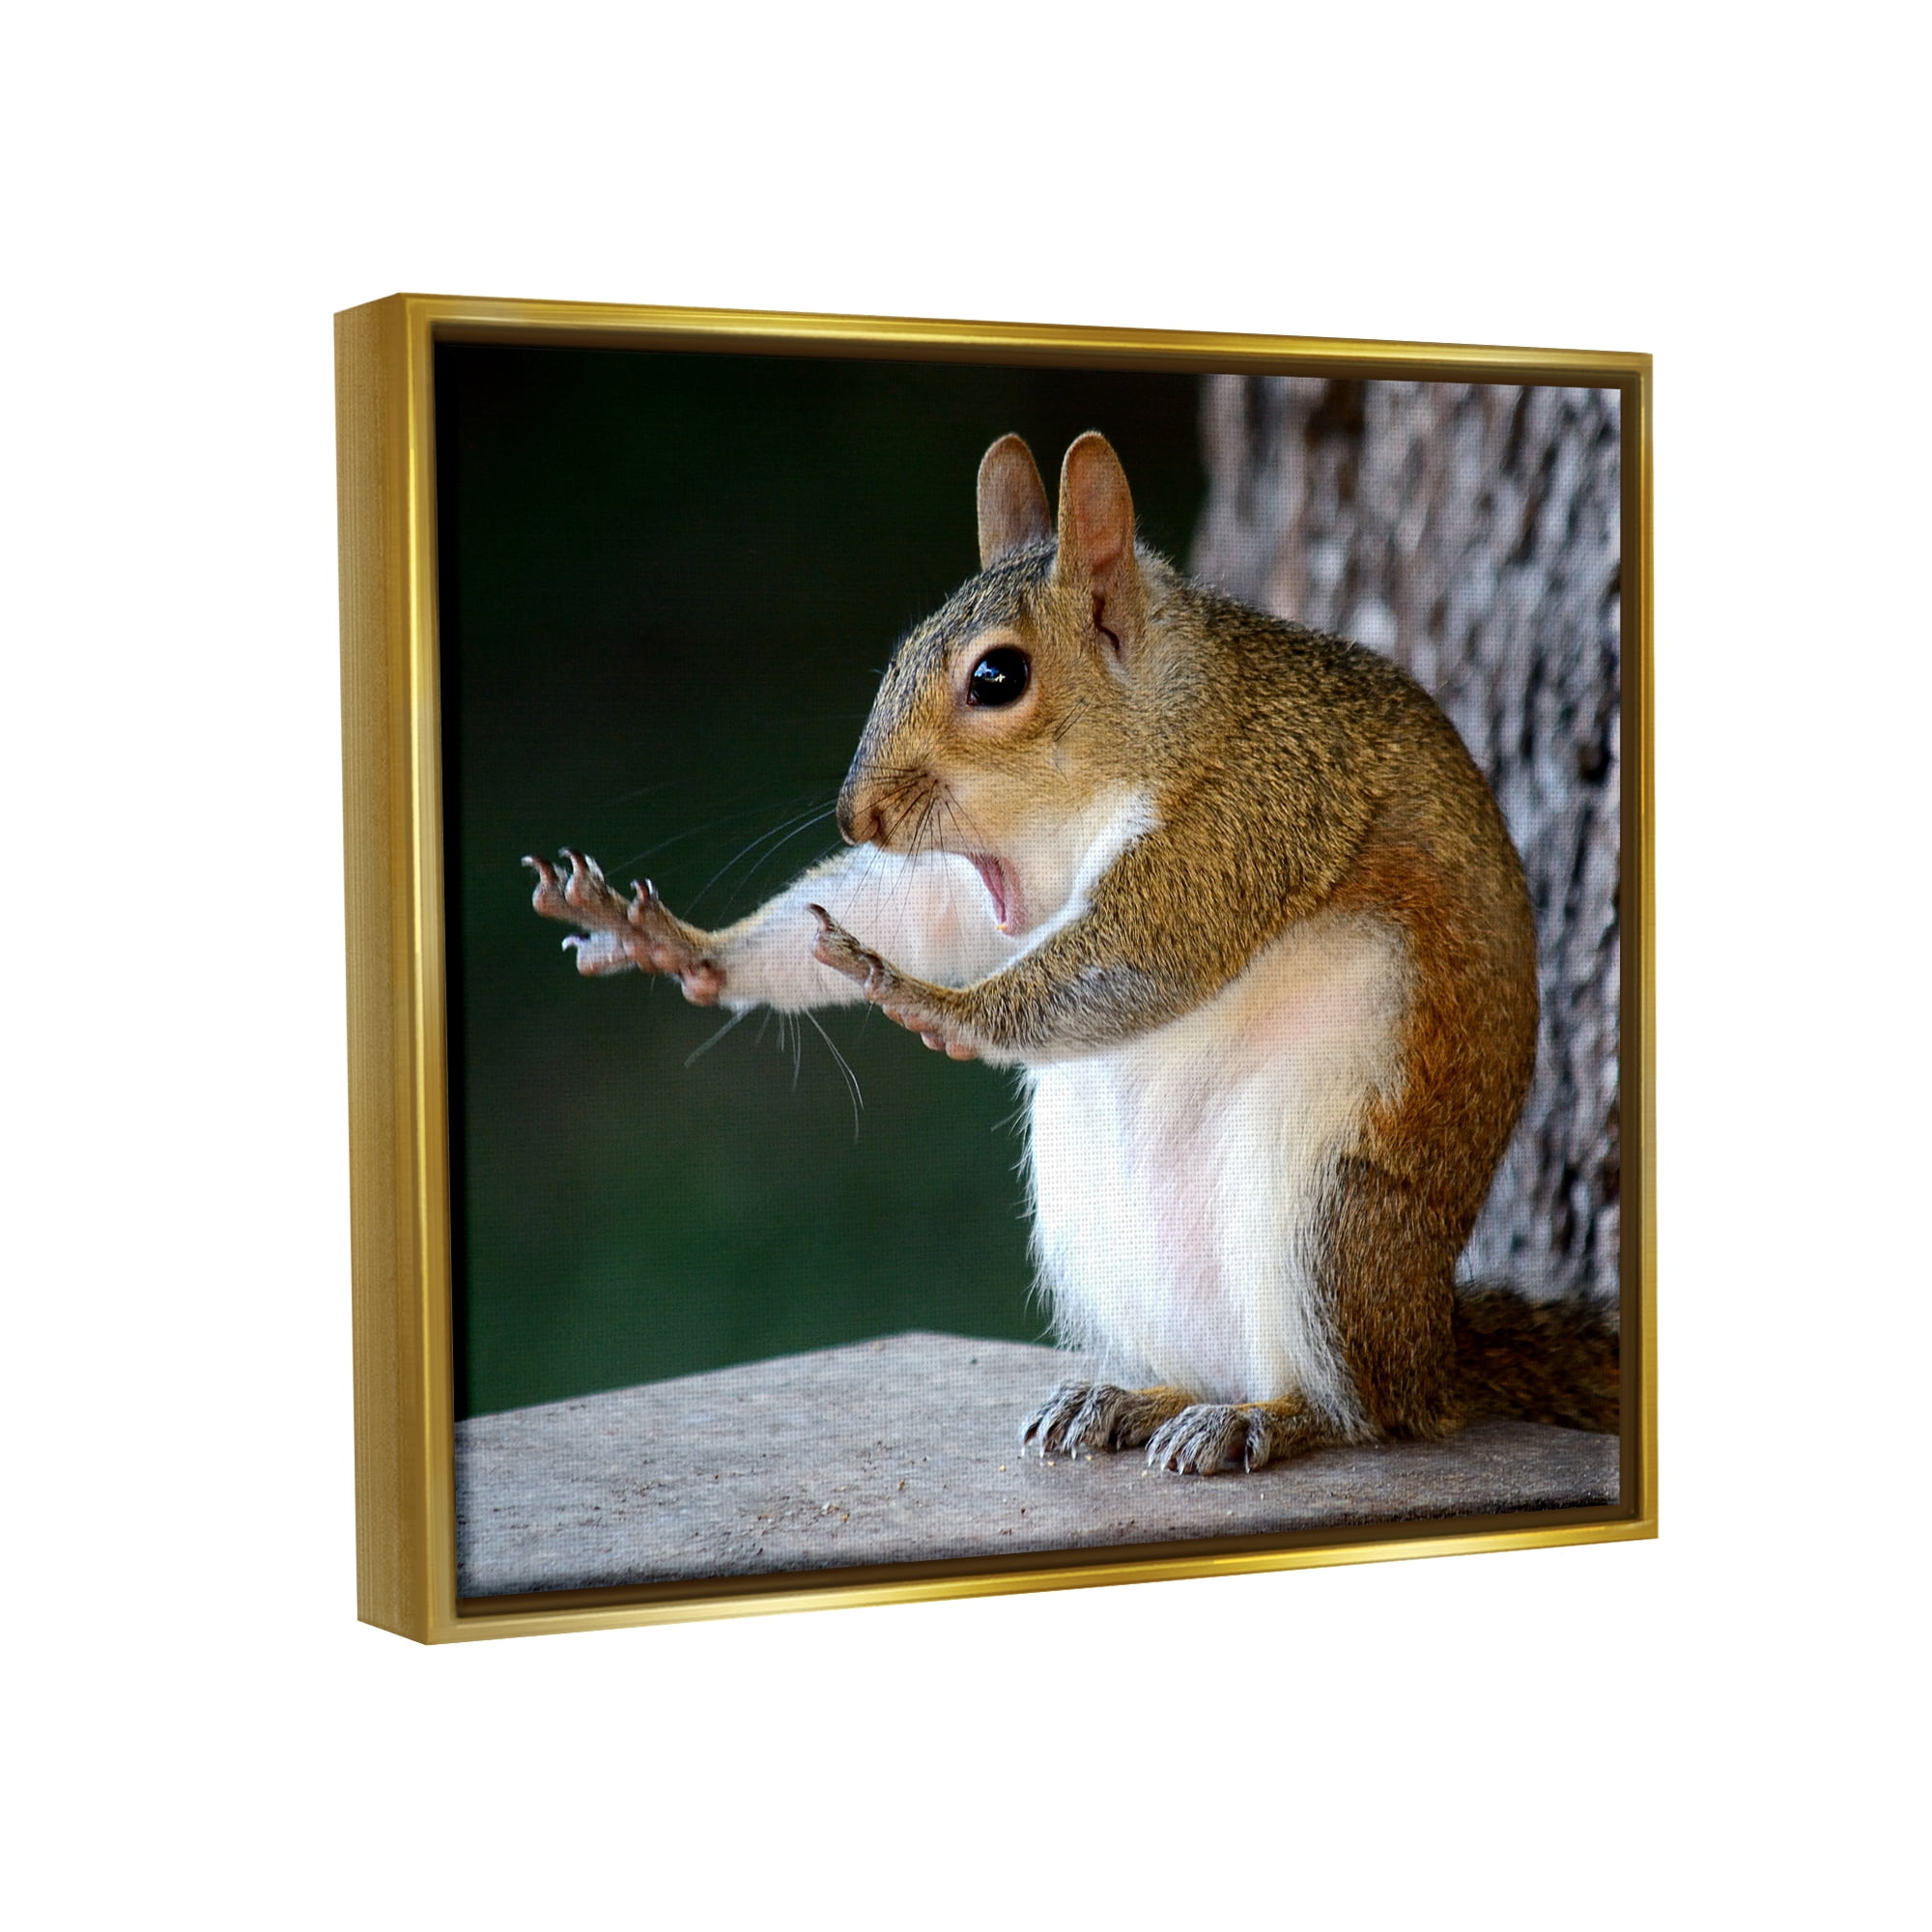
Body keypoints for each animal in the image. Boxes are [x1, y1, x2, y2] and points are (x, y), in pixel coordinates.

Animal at [526, 430, 1618, 1475]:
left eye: (996, 676)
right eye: (900, 652)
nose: (857, 814)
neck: (1155, 727)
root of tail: (1431, 1349)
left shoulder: (1252, 810)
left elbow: (1143, 954)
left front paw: (931, 1002)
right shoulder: (977, 879)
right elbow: (910, 906)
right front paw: (681, 945)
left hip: (1328, 1223)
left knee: (1360, 1411)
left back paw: (1263, 1420)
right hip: (1102, 1229)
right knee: (1202, 1367)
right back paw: (1130, 1399)